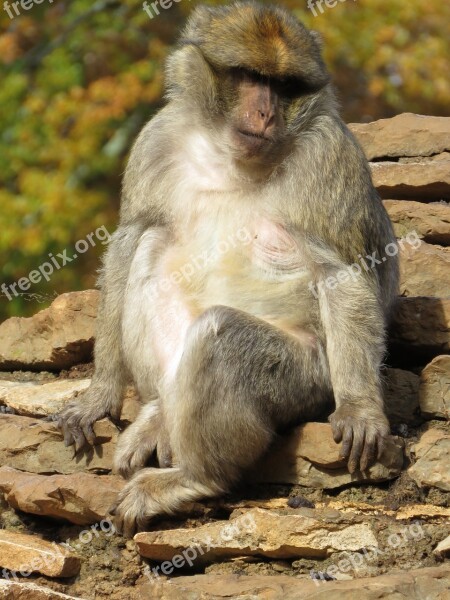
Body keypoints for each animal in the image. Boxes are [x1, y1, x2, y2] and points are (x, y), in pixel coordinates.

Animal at [56, 0, 398, 536]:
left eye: (284, 86)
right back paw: (159, 412)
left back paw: (197, 477)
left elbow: (342, 272)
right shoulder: (157, 138)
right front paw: (100, 393)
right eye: (250, 77)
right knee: (153, 243)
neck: (230, 156)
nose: (266, 112)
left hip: (308, 378)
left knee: (222, 337)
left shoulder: (330, 153)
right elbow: (130, 238)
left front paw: (361, 409)